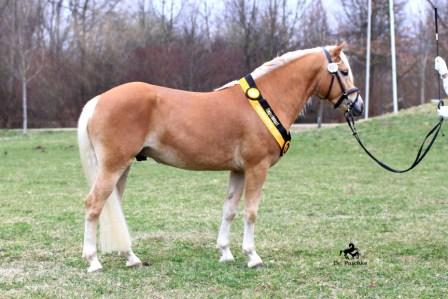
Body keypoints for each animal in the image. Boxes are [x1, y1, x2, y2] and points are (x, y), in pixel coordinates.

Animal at [78, 42, 364, 274]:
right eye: (344, 72)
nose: (358, 106)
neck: (265, 101)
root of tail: (98, 100)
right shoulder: (257, 168)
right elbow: (251, 212)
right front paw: (253, 256)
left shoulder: (238, 170)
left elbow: (229, 210)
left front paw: (225, 252)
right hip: (113, 167)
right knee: (93, 205)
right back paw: (93, 261)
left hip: (122, 168)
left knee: (112, 207)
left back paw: (131, 258)